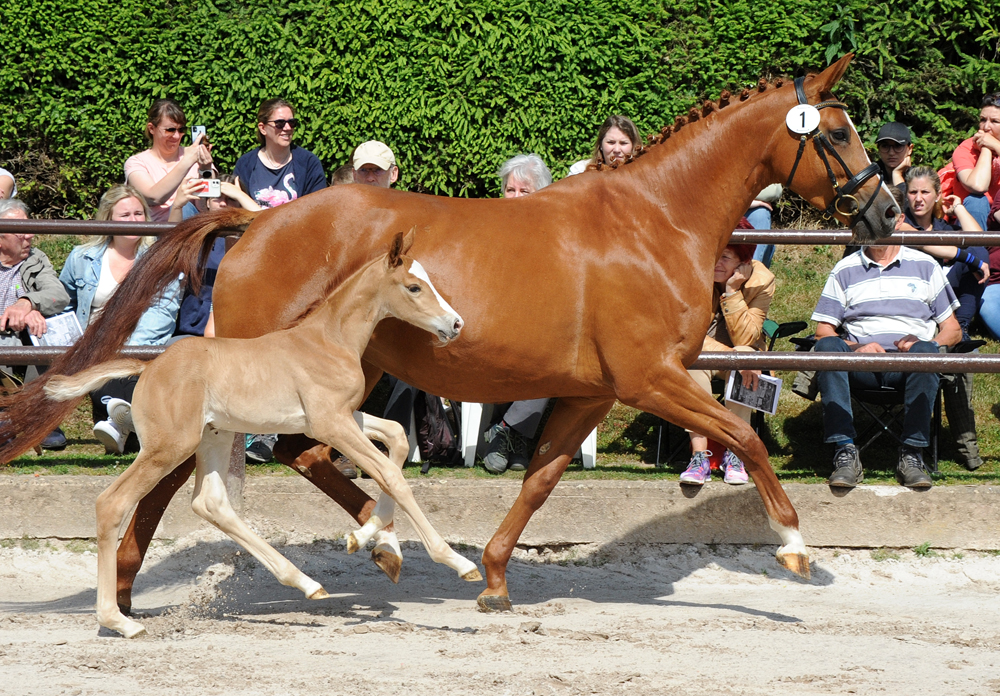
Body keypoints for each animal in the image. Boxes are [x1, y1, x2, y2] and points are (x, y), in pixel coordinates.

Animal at [46, 231, 480, 640]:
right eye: (414, 287)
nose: (456, 323)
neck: (329, 340)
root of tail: (147, 368)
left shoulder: (336, 418)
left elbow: (398, 438)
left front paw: (362, 538)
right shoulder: (330, 423)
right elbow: (392, 475)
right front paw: (457, 562)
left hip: (215, 436)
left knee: (211, 503)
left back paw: (306, 583)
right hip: (168, 447)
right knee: (112, 502)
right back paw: (118, 621)